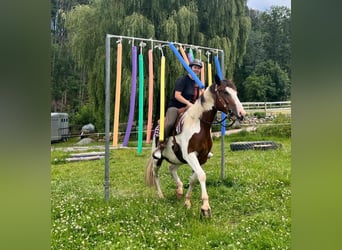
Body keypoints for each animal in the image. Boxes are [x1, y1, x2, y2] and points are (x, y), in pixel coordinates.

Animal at [145, 74, 246, 217]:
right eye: (225, 92)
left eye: (235, 92)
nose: (241, 114)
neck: (199, 124)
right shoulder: (191, 155)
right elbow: (202, 175)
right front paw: (205, 208)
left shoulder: (201, 158)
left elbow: (194, 178)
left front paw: (187, 202)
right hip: (157, 159)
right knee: (155, 174)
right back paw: (160, 195)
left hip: (179, 158)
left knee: (171, 168)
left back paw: (179, 190)